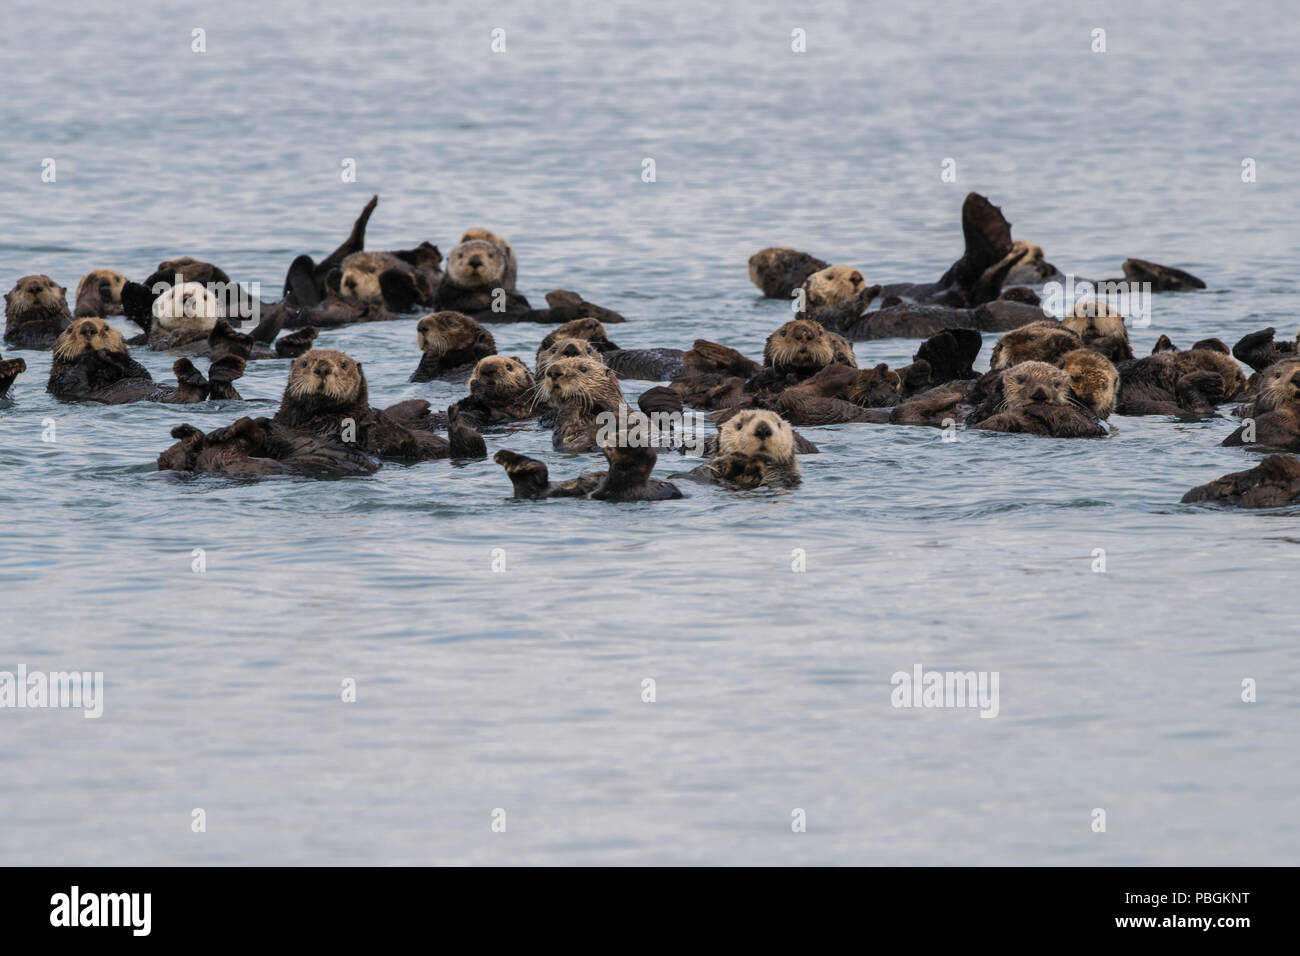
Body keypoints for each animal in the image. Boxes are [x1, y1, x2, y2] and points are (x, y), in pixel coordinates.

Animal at [46, 317, 243, 404]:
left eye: (106, 327)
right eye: (70, 330)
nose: (88, 328)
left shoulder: (139, 372)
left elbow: (139, 371)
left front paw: (114, 356)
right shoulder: (61, 382)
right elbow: (74, 378)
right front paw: (99, 354)